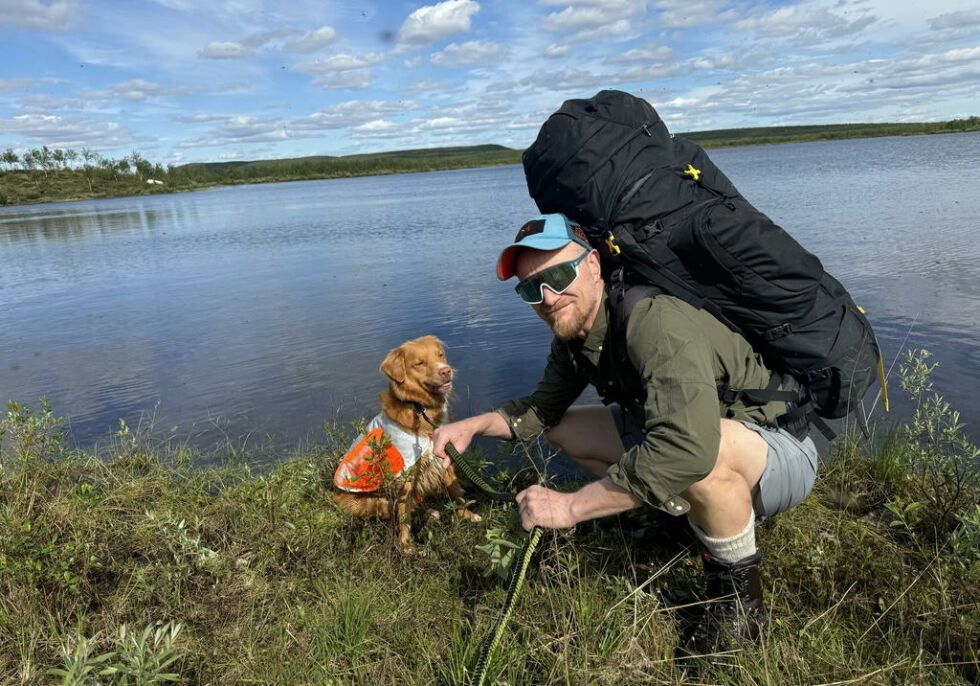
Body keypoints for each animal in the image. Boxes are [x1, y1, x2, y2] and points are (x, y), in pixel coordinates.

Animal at [332, 336, 480, 556]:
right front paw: (406, 547)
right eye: (419, 363)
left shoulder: (442, 458)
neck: (420, 408)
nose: (446, 370)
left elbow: (456, 493)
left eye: (440, 355)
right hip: (374, 501)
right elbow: (404, 517)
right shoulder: (405, 476)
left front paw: (467, 515)